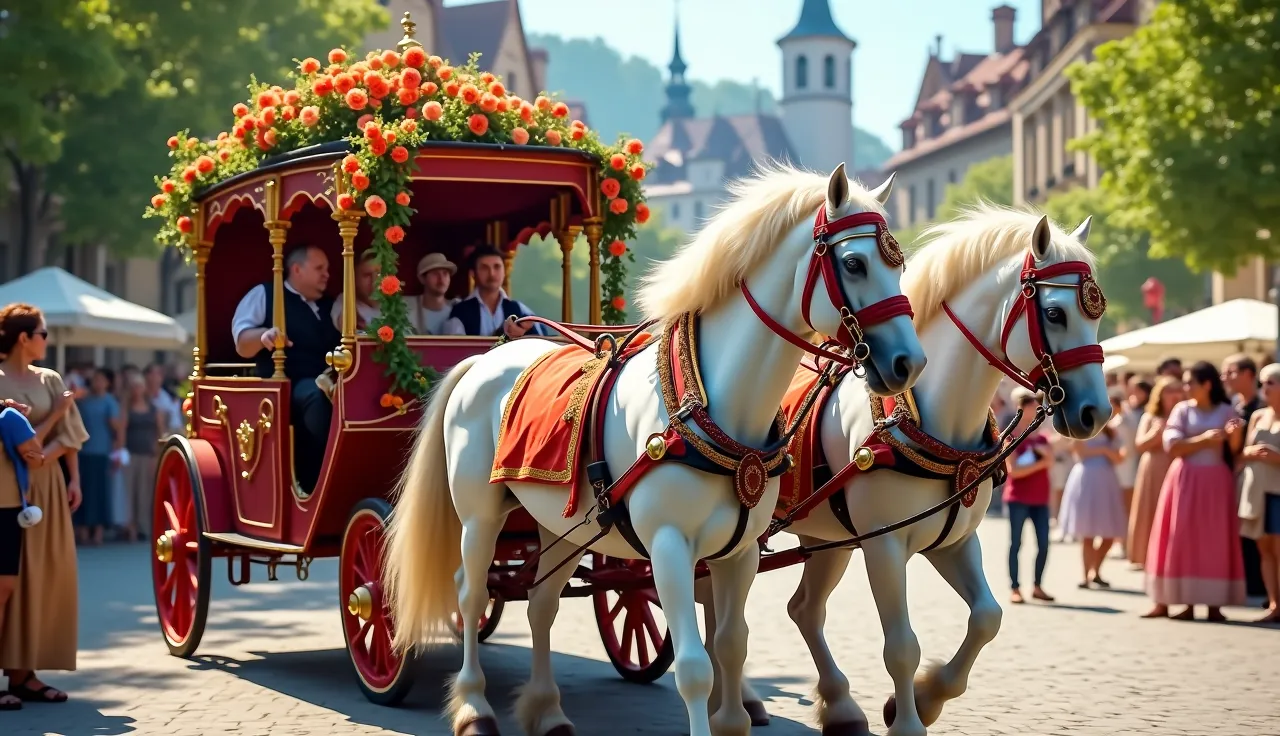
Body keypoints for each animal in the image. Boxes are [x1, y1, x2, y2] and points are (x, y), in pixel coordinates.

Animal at [381, 162, 931, 736]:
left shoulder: (740, 552)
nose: (909, 364)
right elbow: (694, 667)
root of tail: (486, 357)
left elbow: (730, 644)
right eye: (853, 262)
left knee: (540, 603)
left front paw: (736, 715)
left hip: (560, 524)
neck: (712, 405)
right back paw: (473, 706)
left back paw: (547, 710)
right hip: (479, 514)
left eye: (898, 264)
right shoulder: (668, 545)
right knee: (472, 595)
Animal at [706, 204, 1116, 732]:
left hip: (822, 538)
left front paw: (928, 696)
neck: (929, 416)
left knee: (800, 610)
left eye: (1097, 314)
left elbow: (988, 617)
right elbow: (901, 644)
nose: (1097, 413)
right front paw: (908, 718)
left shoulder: (954, 541)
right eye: (1054, 313)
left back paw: (827, 703)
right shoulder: (883, 545)